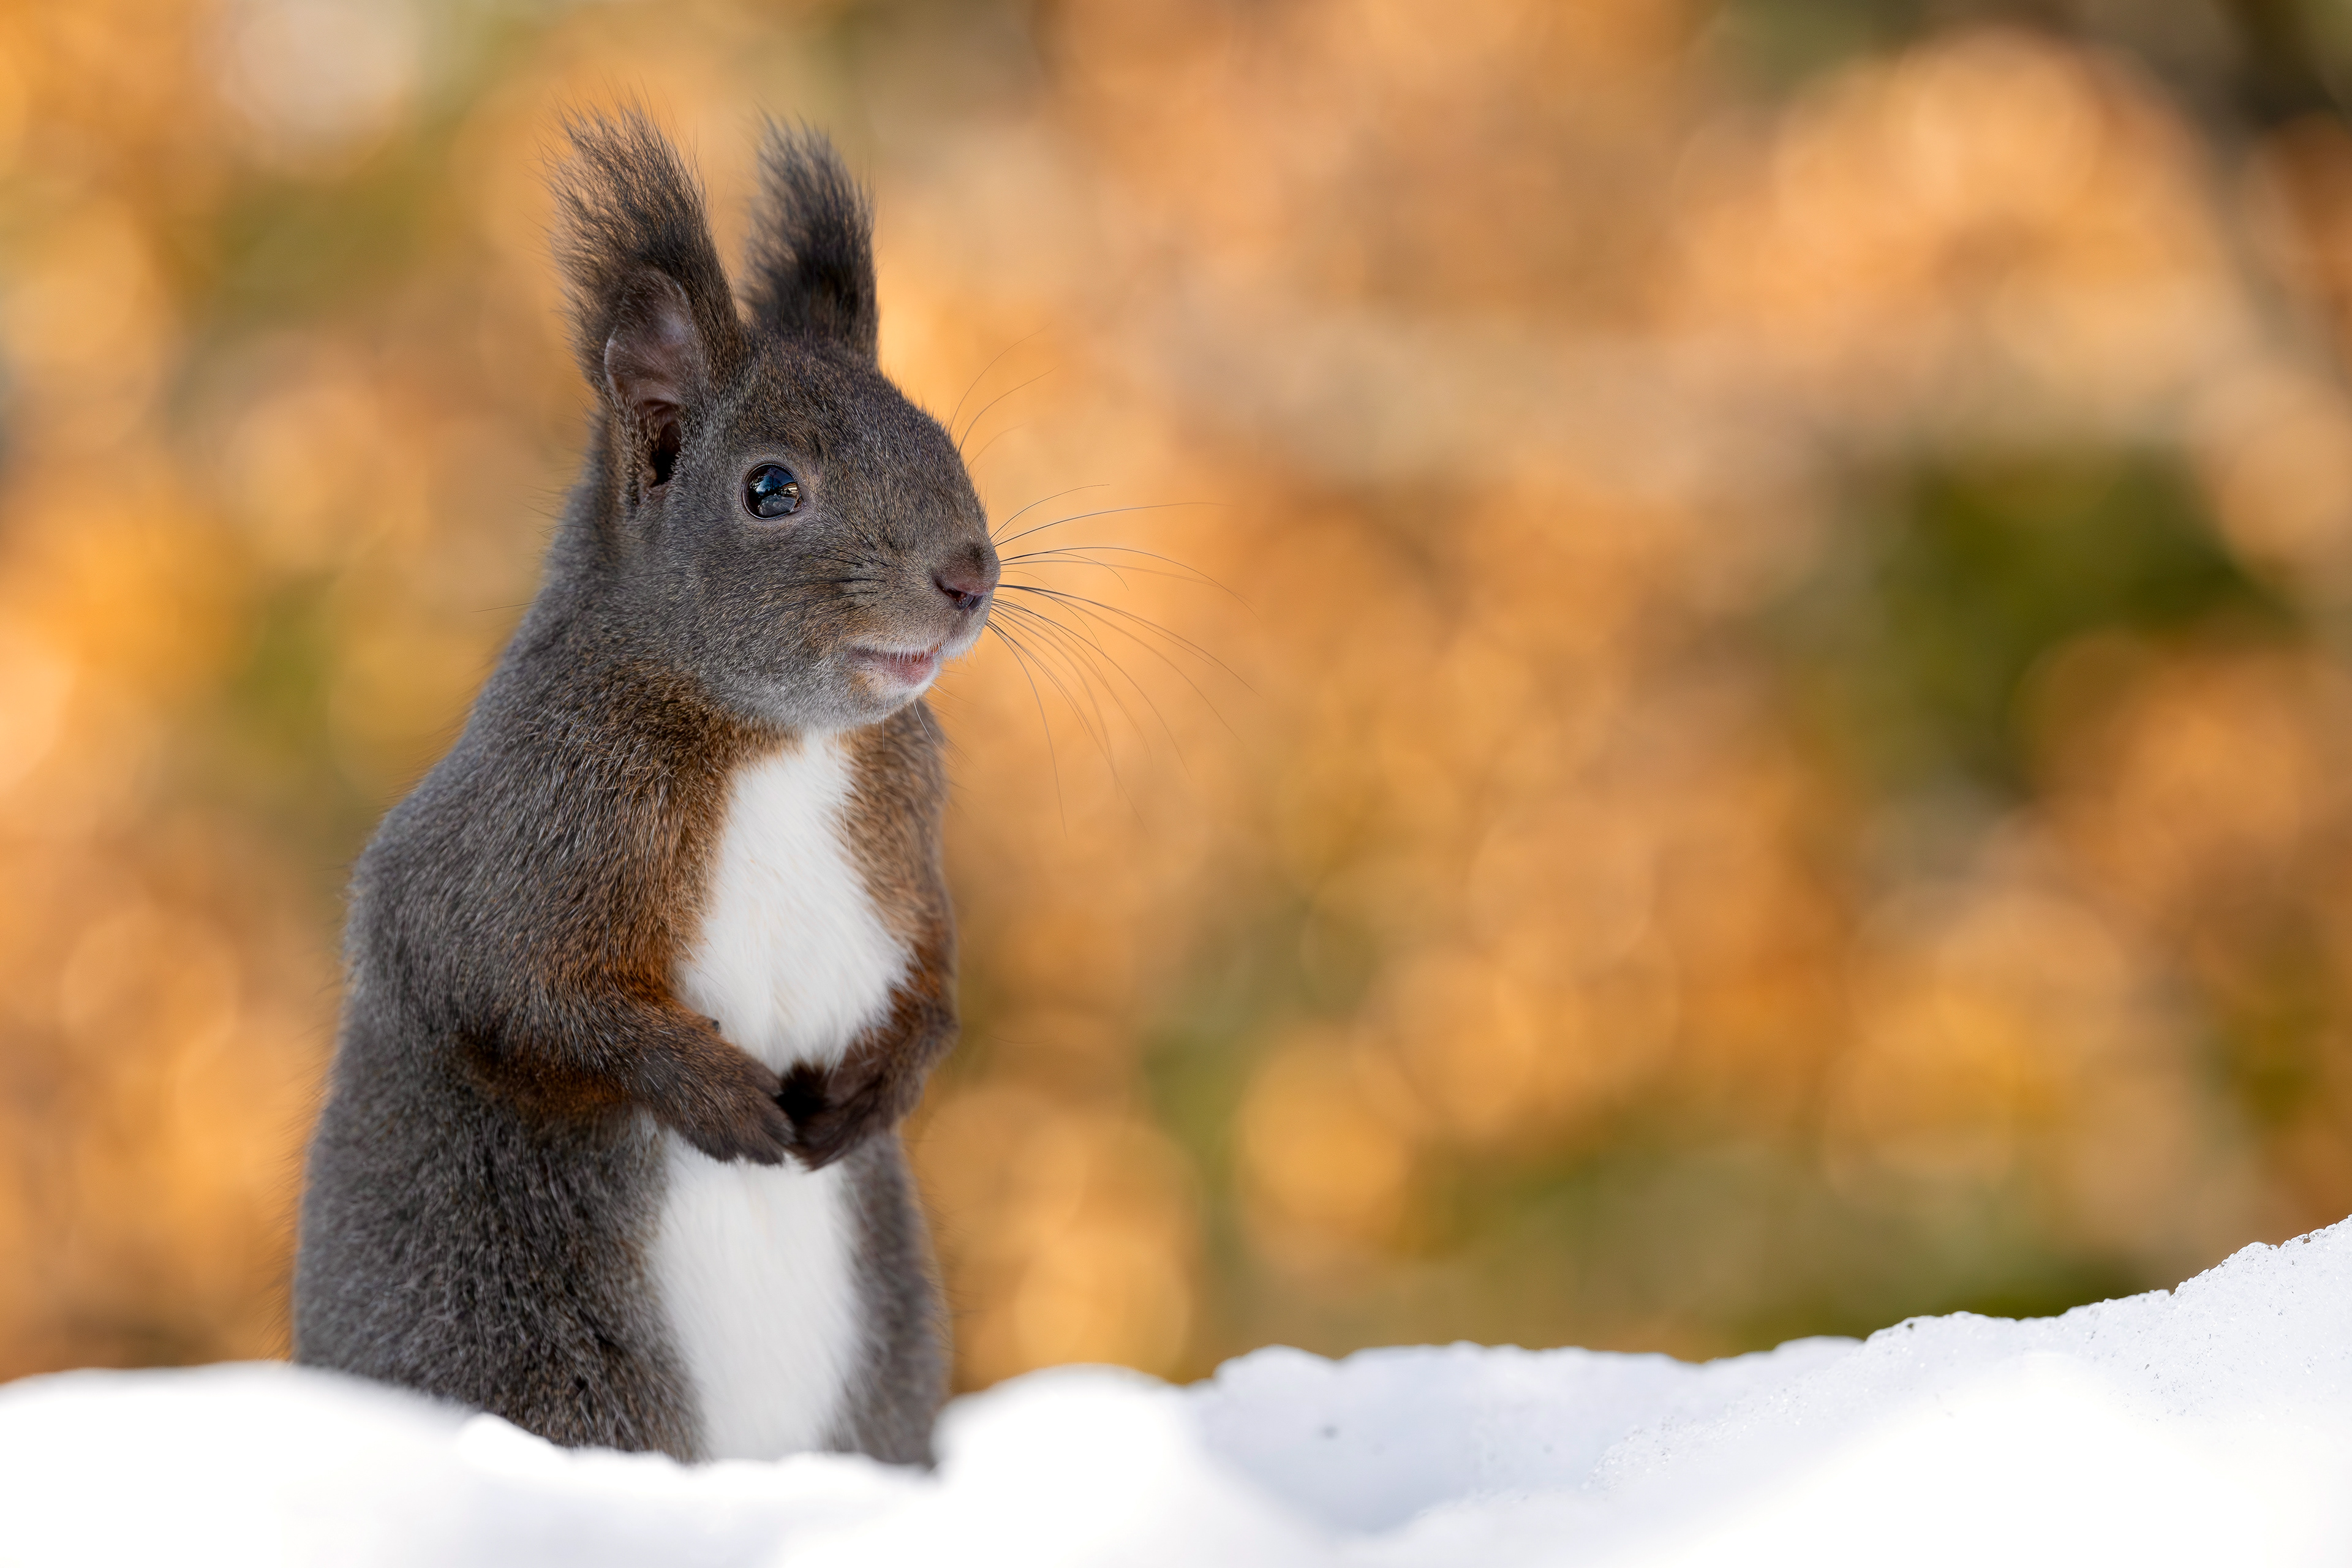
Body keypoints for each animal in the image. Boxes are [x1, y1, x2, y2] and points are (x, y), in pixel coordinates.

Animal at [290, 112, 996, 1466]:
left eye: (941, 436)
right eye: (770, 489)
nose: (970, 574)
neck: (775, 740)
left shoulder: (913, 823)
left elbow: (933, 972)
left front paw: (884, 1083)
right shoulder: (517, 828)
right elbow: (518, 992)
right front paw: (715, 1094)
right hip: (539, 1360)